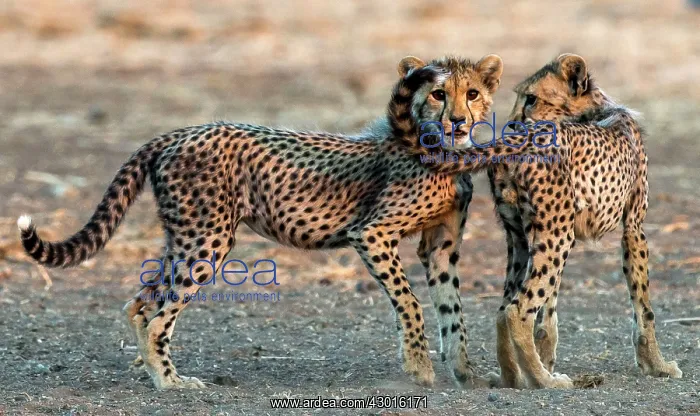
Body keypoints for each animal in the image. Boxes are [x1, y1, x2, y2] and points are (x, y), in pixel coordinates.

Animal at [18, 54, 544, 390]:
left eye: (472, 94)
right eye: (437, 93)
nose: (457, 120)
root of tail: (183, 130)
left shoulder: (440, 245)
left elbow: (452, 313)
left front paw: (467, 375)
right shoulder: (371, 234)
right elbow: (412, 304)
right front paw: (418, 369)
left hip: (184, 235)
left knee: (139, 303)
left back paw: (150, 372)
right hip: (207, 239)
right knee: (157, 314)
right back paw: (170, 383)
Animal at [418, 54, 683, 389]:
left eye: (531, 98)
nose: (512, 122)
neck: (597, 110)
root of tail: (518, 140)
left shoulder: (542, 232)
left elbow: (548, 314)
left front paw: (546, 358)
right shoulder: (633, 228)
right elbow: (643, 307)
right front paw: (658, 366)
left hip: (522, 238)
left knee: (503, 309)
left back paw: (514, 377)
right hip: (558, 238)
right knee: (517, 310)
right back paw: (545, 381)